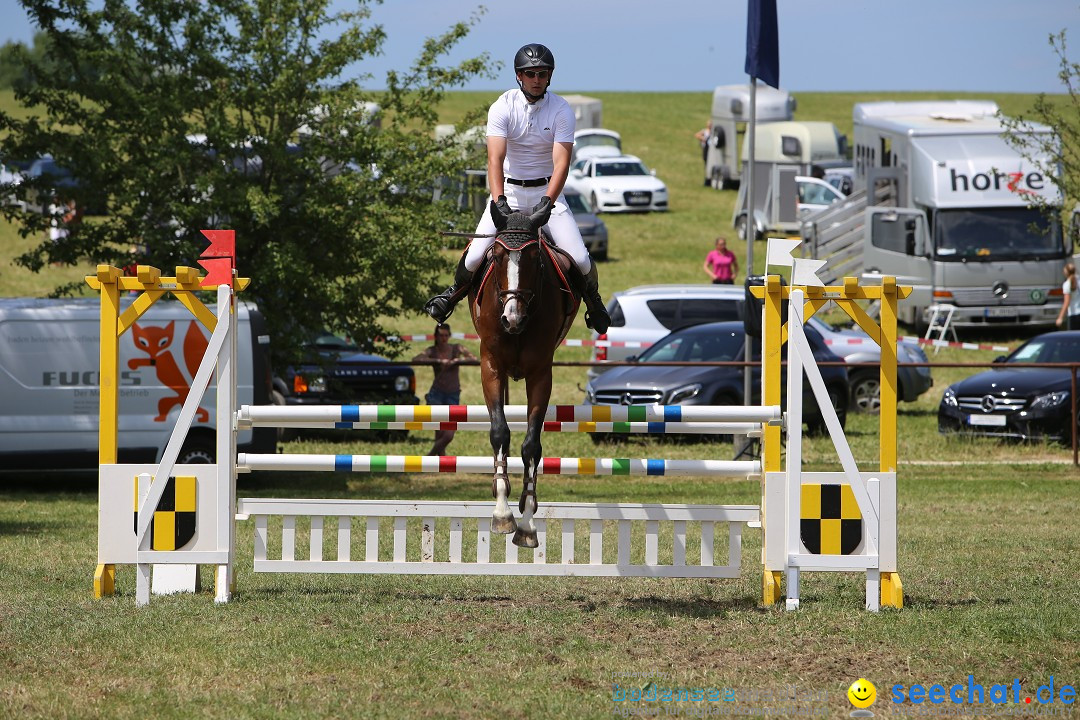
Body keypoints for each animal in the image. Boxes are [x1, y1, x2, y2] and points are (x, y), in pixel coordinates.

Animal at [466, 201, 578, 546]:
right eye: (497, 256)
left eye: (533, 259)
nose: (511, 319)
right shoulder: (490, 366)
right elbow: (499, 432)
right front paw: (502, 513)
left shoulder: (541, 373)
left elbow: (531, 445)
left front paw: (526, 522)